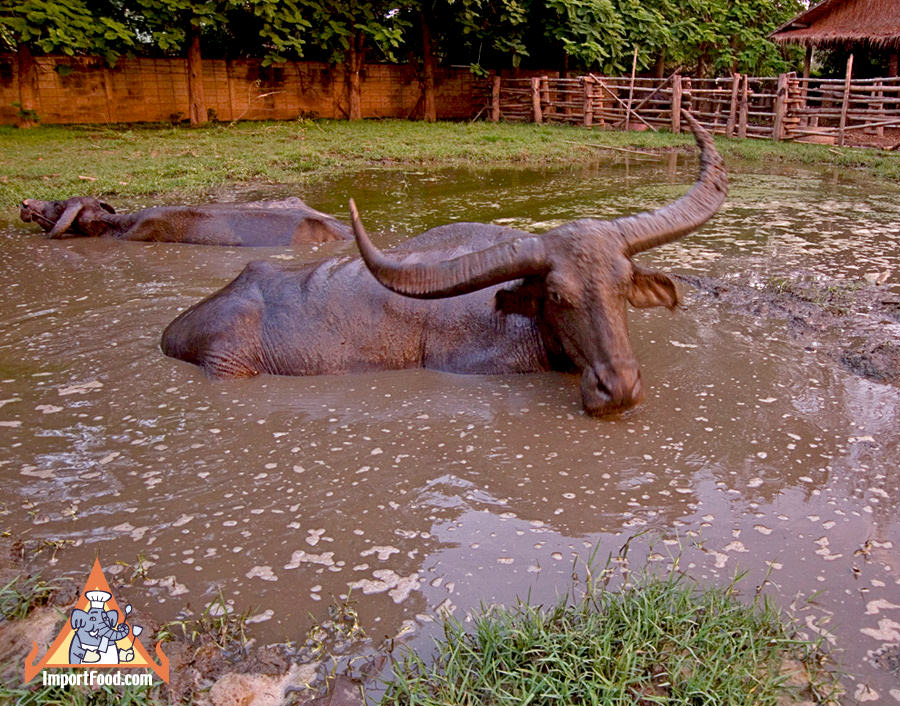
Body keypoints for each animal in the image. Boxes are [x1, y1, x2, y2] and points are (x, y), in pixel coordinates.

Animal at [160, 112, 724, 416]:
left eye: (624, 287)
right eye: (557, 296)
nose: (619, 388)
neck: (521, 322)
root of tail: (176, 330)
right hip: (228, 365)